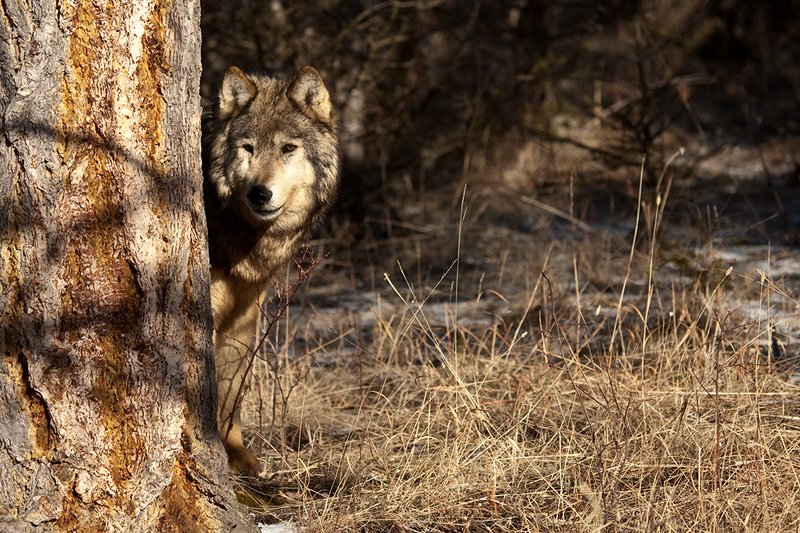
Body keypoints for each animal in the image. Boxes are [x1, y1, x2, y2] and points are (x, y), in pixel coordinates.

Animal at [203, 65, 339, 474]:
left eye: (287, 148)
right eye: (248, 148)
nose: (259, 194)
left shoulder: (244, 317)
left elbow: (231, 395)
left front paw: (234, 454)